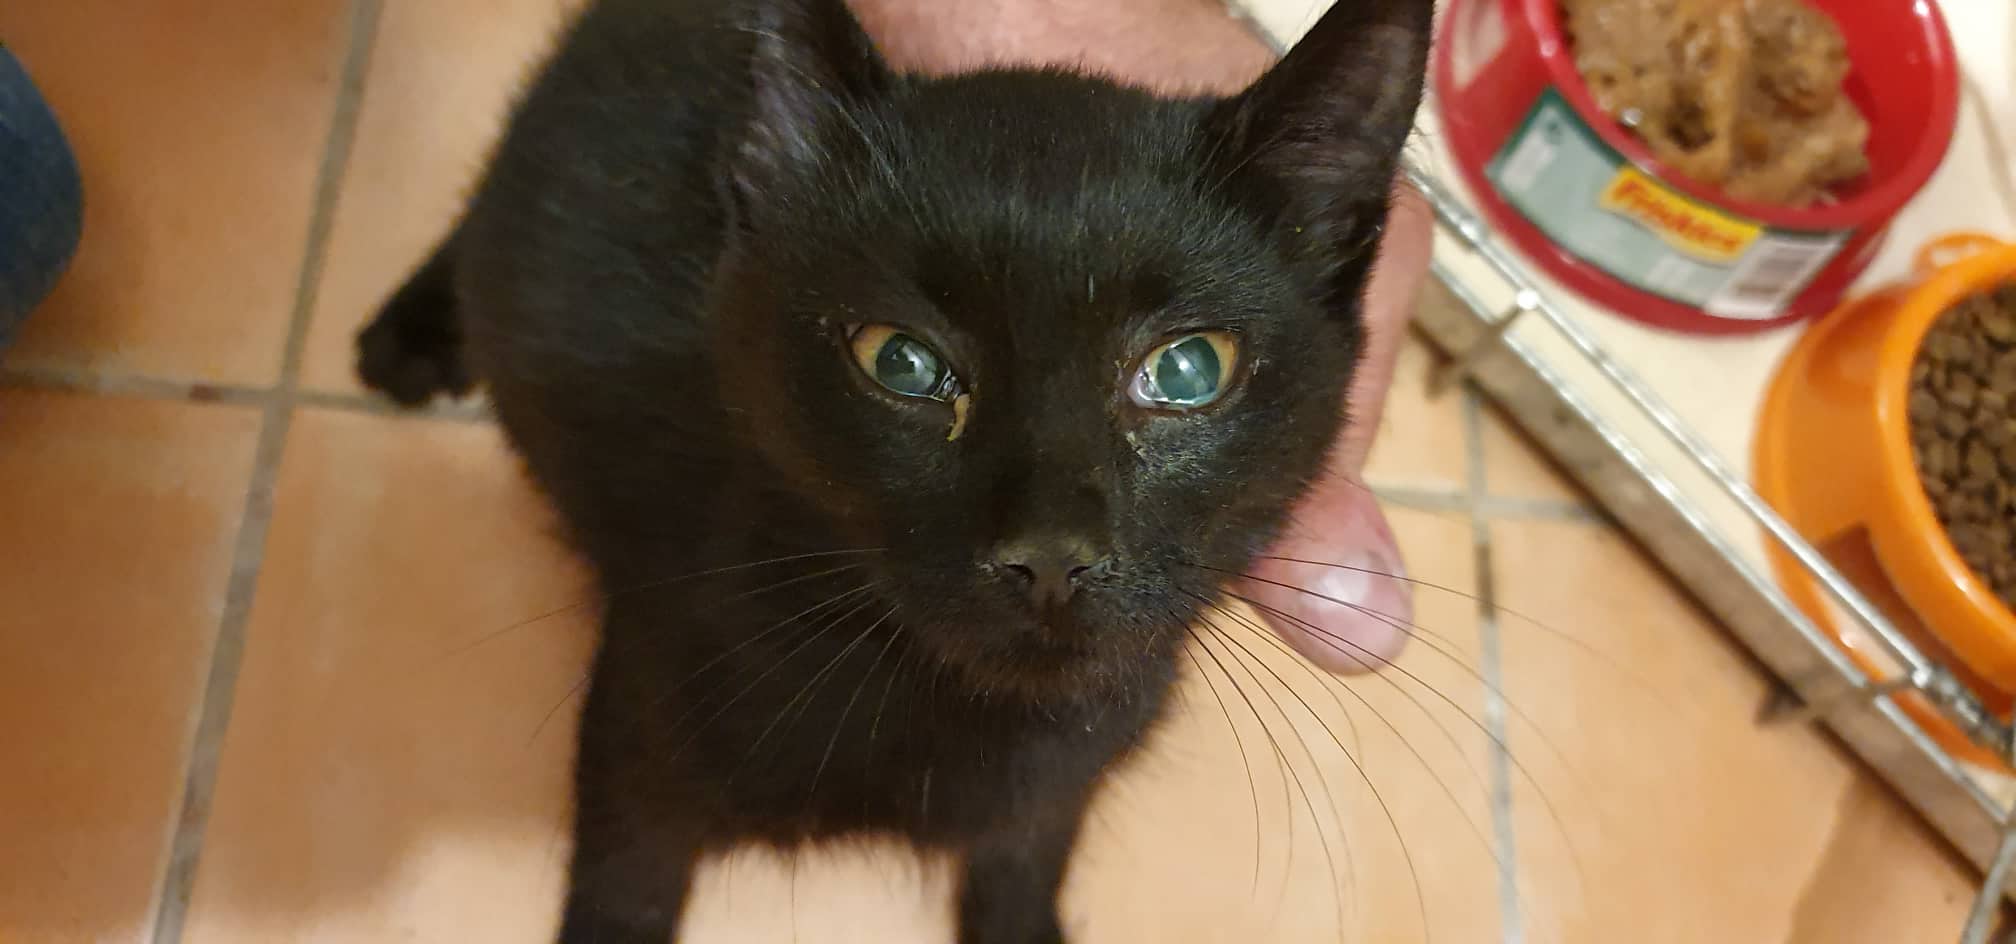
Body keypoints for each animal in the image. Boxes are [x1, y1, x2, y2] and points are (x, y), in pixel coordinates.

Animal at [355, 0, 1430, 940]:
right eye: (900, 362)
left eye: (1189, 371)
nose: (1050, 552)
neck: (957, 710)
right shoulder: (638, 736)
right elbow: (624, 896)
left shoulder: (1055, 788)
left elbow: (1021, 866)